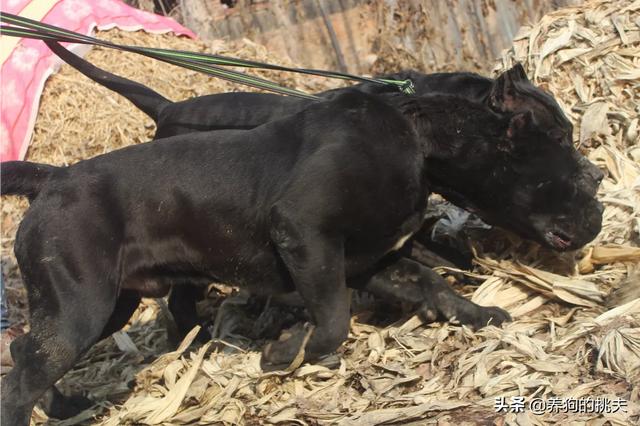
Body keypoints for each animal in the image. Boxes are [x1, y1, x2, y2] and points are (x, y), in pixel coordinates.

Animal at [0, 90, 604, 426]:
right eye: (569, 168)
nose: (600, 200)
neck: (420, 142)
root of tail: (52, 180)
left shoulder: (373, 259)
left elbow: (430, 283)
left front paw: (480, 314)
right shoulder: (306, 234)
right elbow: (334, 320)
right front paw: (284, 352)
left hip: (105, 306)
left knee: (25, 351)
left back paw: (65, 409)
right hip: (82, 308)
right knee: (23, 374)